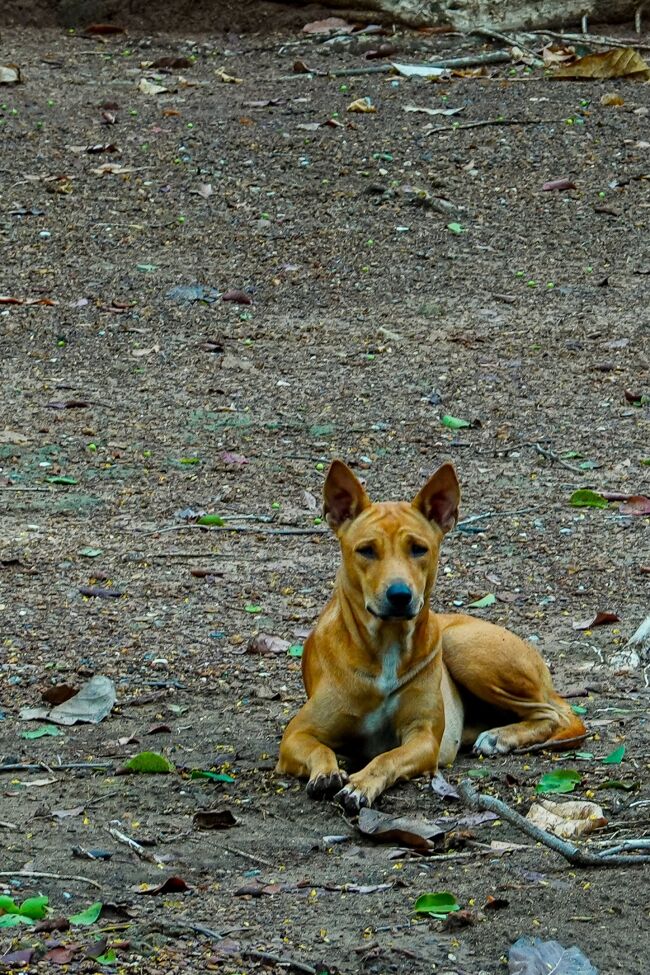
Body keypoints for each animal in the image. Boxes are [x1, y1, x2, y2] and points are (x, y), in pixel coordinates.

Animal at [276, 462, 584, 812]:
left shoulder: (423, 737)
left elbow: (386, 759)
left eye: (418, 549)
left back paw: (501, 736)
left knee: (552, 714)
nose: (399, 595)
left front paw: (361, 784)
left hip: (462, 647)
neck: (387, 646)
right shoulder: (296, 735)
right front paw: (327, 773)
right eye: (366, 550)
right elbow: (319, 748)